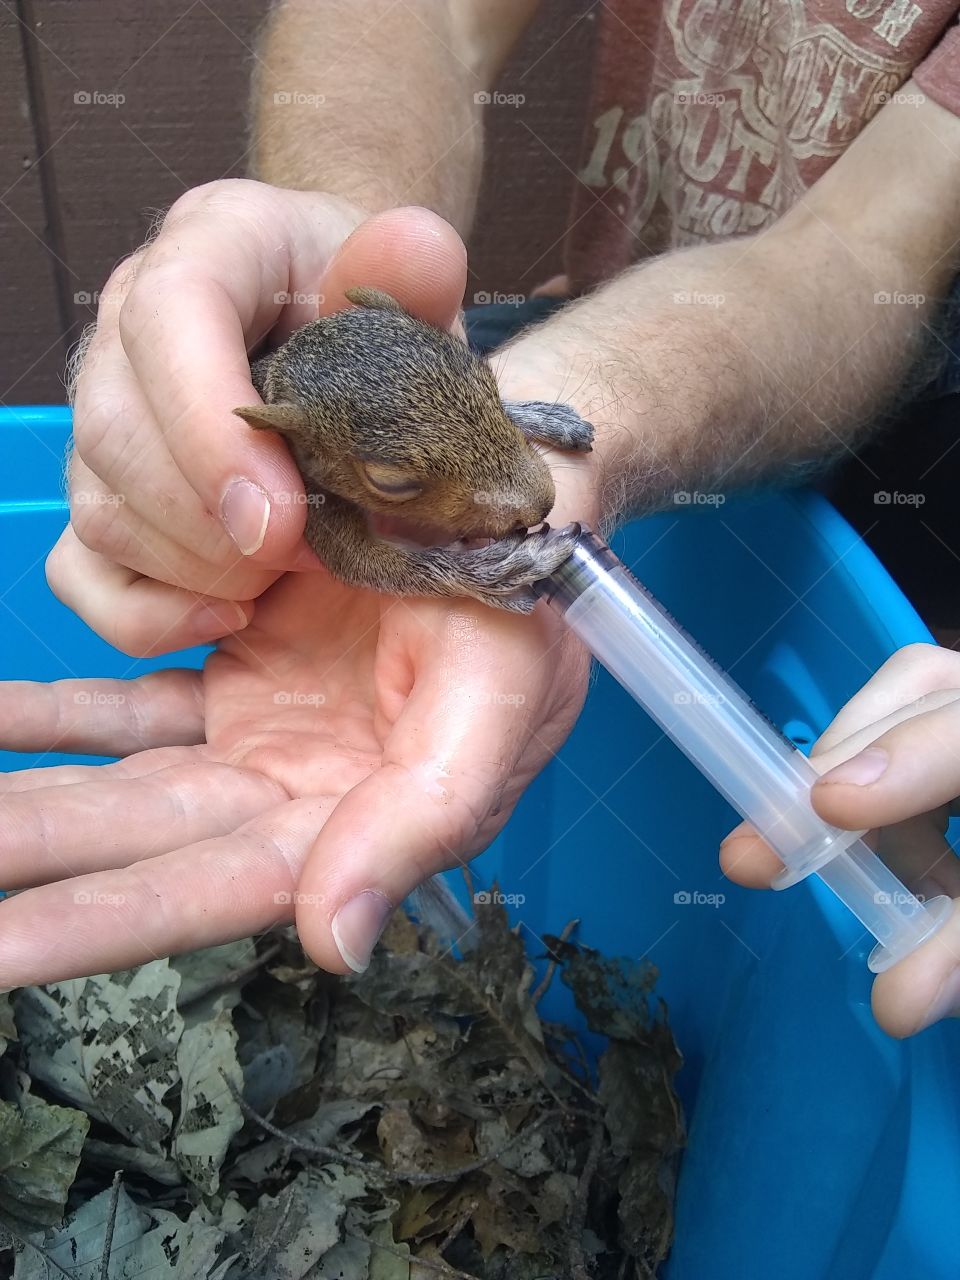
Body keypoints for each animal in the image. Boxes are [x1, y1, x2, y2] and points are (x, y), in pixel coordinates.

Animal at [233, 287, 593, 612]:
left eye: (488, 379)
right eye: (389, 482)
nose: (543, 506)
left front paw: (544, 417)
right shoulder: (311, 501)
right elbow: (367, 563)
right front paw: (499, 569)